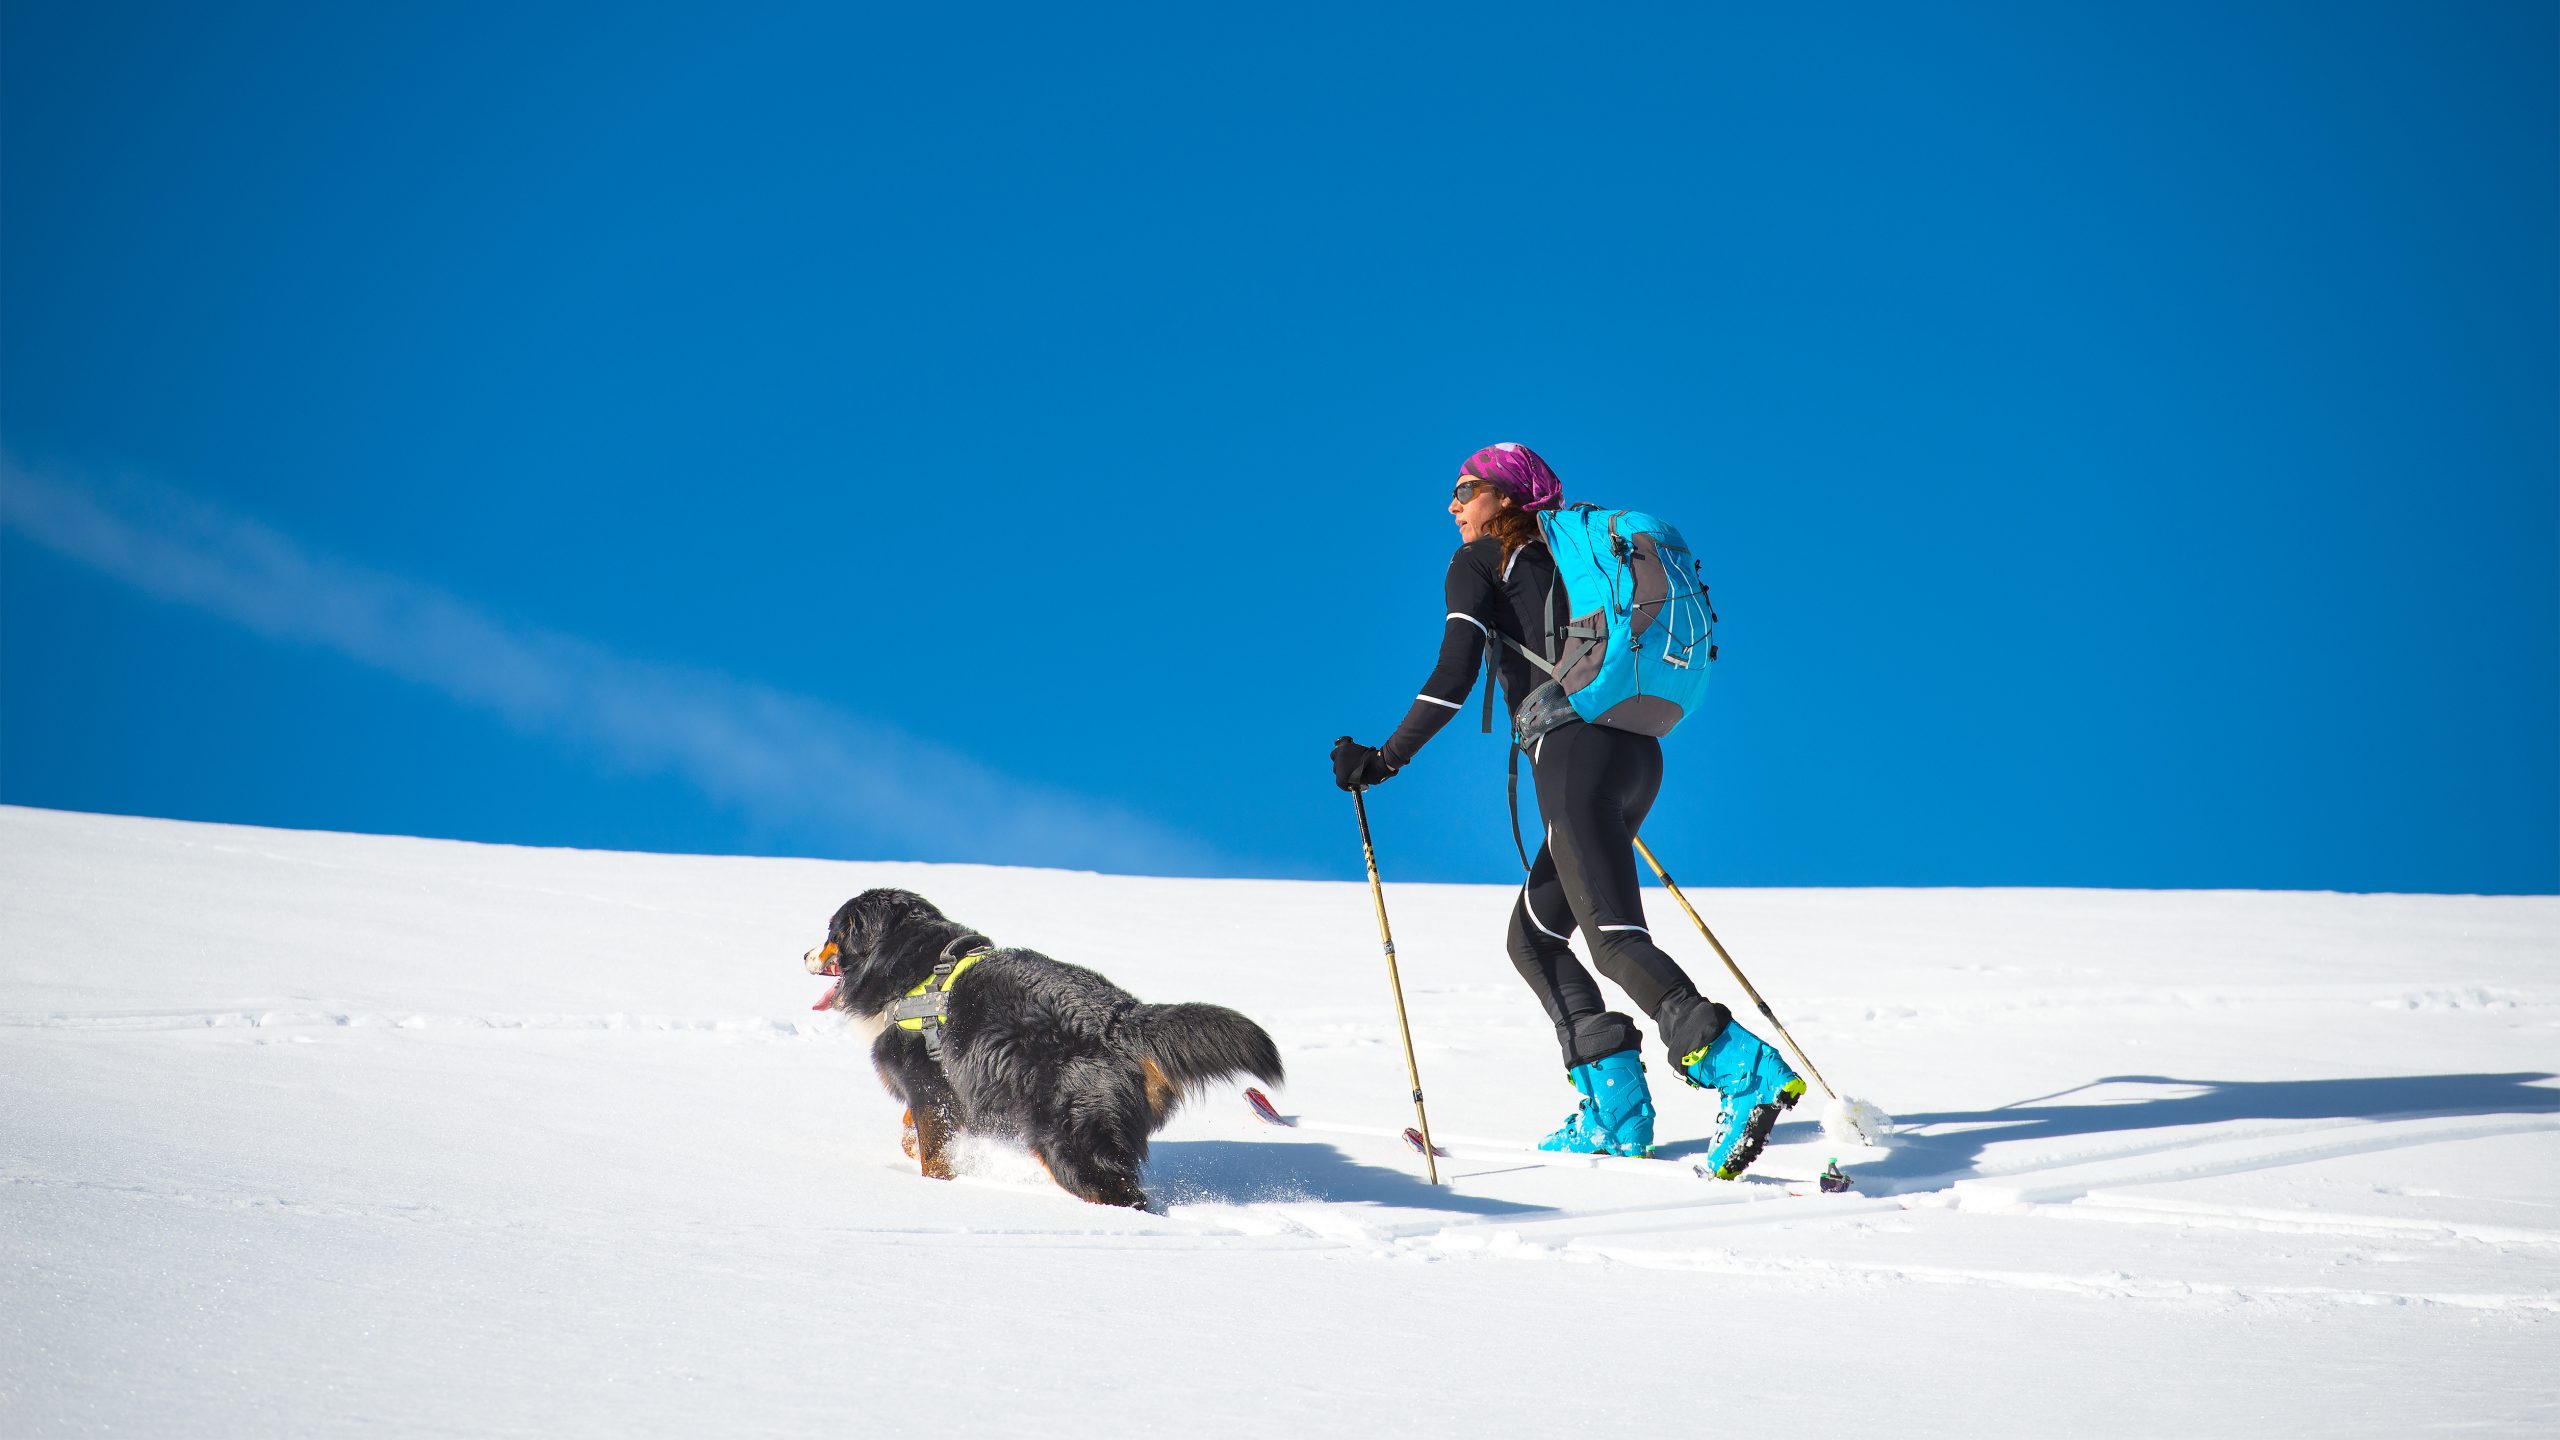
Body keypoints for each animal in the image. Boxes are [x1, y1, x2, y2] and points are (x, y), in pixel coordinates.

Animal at [798, 886, 1280, 1199]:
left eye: (831, 934)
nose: (803, 954)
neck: (907, 969)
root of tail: (1120, 1017)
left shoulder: (927, 1085)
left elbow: (932, 1150)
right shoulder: (953, 1088)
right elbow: (913, 1131)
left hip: (1070, 1138)